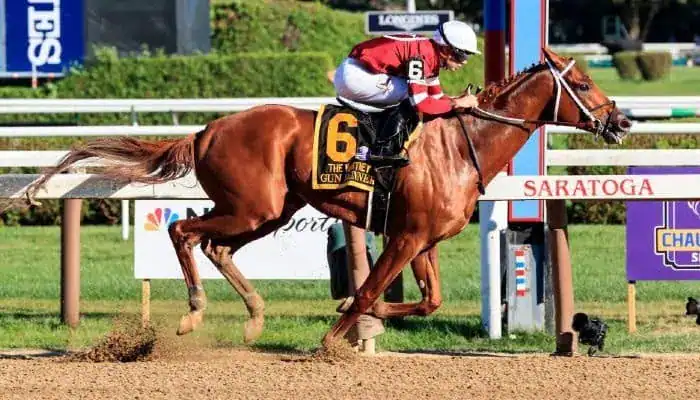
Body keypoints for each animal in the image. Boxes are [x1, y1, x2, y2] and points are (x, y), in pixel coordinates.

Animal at [25, 48, 631, 348]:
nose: (622, 120)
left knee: (216, 246)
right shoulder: (405, 235)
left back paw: (253, 317)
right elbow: (366, 291)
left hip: (271, 211)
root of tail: (206, 130)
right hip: (252, 207)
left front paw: (358, 317)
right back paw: (195, 312)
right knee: (182, 230)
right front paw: (333, 340)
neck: (463, 143)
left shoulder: (423, 238)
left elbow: (426, 300)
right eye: (585, 85)